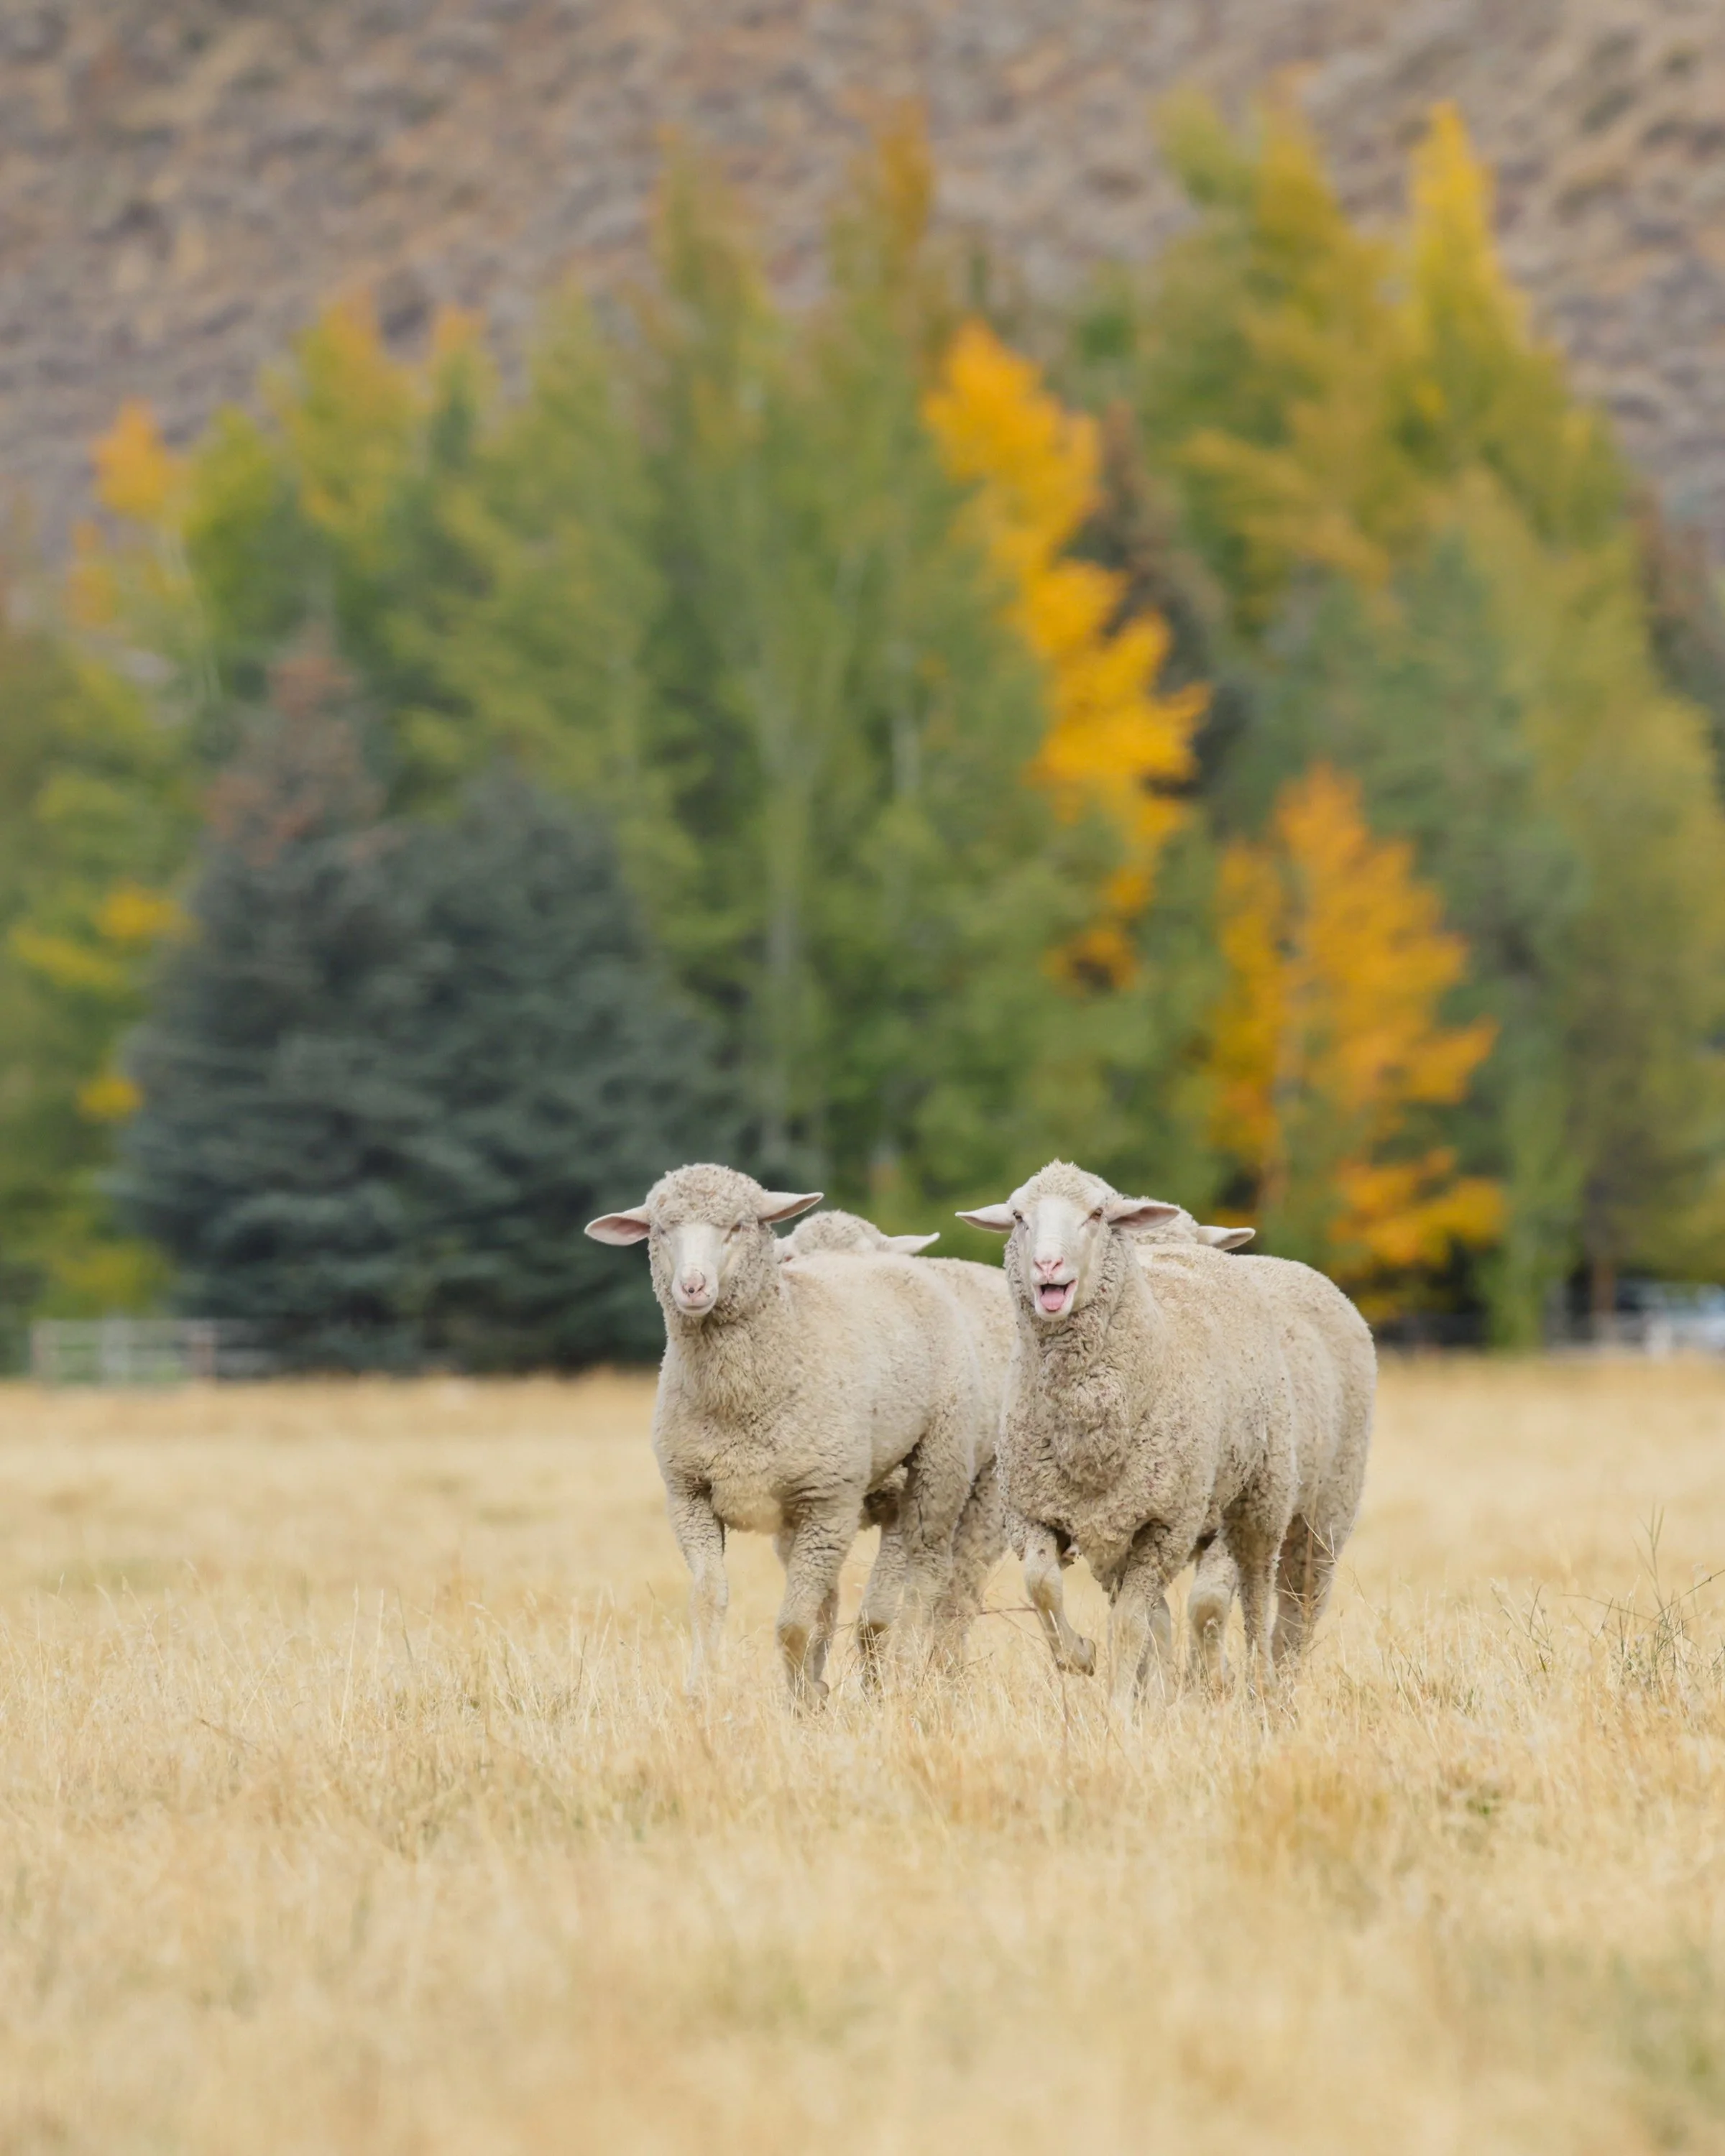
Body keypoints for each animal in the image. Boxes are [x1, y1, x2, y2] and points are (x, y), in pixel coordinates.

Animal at [585, 1165, 982, 1705]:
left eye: (738, 1226)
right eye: (661, 1230)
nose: (692, 1287)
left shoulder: (829, 1502)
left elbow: (793, 1621)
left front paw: (801, 1702)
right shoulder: (690, 1496)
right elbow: (709, 1600)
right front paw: (702, 1690)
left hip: (938, 1461)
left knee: (925, 1571)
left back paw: (905, 1674)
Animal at [778, 1208, 1012, 1656]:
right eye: (790, 1259)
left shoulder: (901, 1505)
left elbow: (875, 1621)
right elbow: (819, 1612)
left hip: (988, 1489)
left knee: (958, 1597)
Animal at [959, 1160, 1296, 1712]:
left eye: (1098, 1214)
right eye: (1018, 1217)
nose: (1047, 1265)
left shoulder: (1164, 1525)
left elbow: (1128, 1624)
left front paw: (1118, 1709)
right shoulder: (1031, 1511)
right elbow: (1044, 1587)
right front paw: (1080, 1656)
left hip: (1259, 1496)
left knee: (1256, 1591)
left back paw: (1262, 1685)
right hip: (1122, 1531)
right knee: (1159, 1614)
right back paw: (1158, 1693)